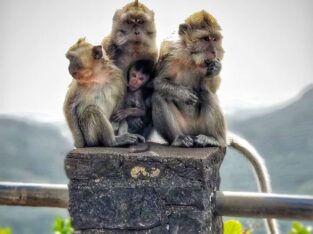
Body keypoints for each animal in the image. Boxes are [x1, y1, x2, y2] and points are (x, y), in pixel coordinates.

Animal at [151, 11, 278, 234]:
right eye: (205, 39)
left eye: (214, 39)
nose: (213, 51)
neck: (191, 58)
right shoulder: (169, 52)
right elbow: (156, 83)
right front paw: (182, 93)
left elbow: (212, 87)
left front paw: (216, 69)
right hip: (183, 127)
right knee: (158, 97)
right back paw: (178, 139)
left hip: (204, 126)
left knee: (207, 93)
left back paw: (214, 140)